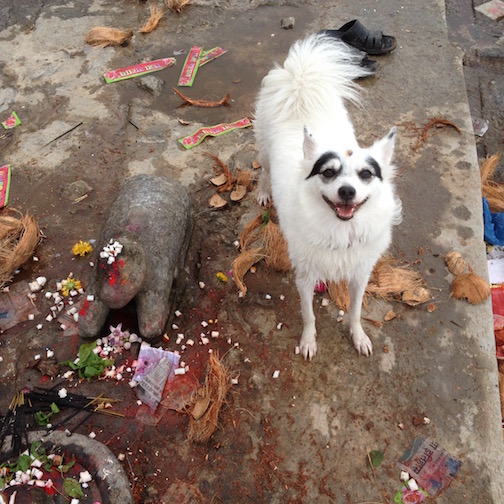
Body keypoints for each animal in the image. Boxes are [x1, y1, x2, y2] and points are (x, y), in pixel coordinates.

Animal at [254, 34, 402, 359]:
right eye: (329, 172)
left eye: (366, 174)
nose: (347, 191)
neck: (341, 230)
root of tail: (299, 82)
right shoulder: (305, 275)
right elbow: (308, 314)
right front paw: (309, 341)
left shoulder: (360, 273)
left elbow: (356, 310)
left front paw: (357, 335)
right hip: (264, 151)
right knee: (264, 170)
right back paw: (263, 192)